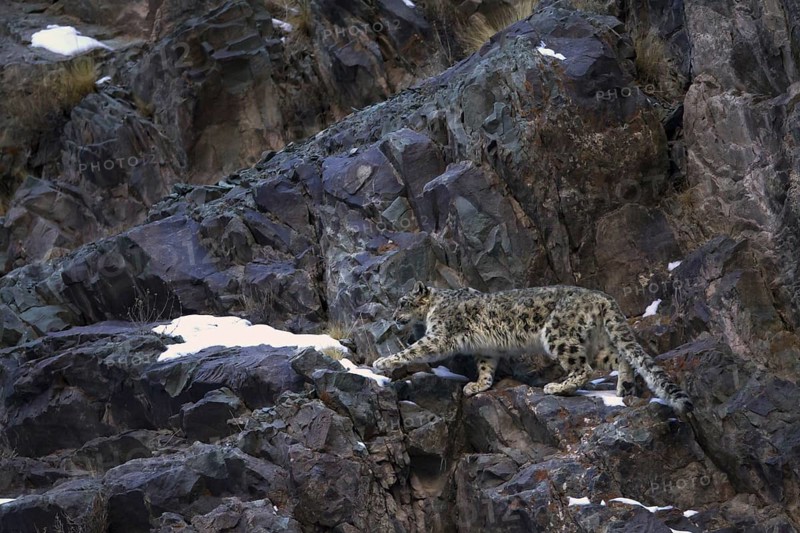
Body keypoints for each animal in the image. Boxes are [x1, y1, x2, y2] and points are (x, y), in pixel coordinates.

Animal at [373, 282, 693, 413]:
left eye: (402, 302)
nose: (394, 317)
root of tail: (602, 296)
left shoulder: (439, 335)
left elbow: (415, 349)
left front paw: (382, 362)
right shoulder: (487, 350)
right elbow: (486, 367)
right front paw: (478, 385)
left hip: (558, 334)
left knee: (584, 369)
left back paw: (556, 387)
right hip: (598, 341)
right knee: (619, 358)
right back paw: (623, 389)